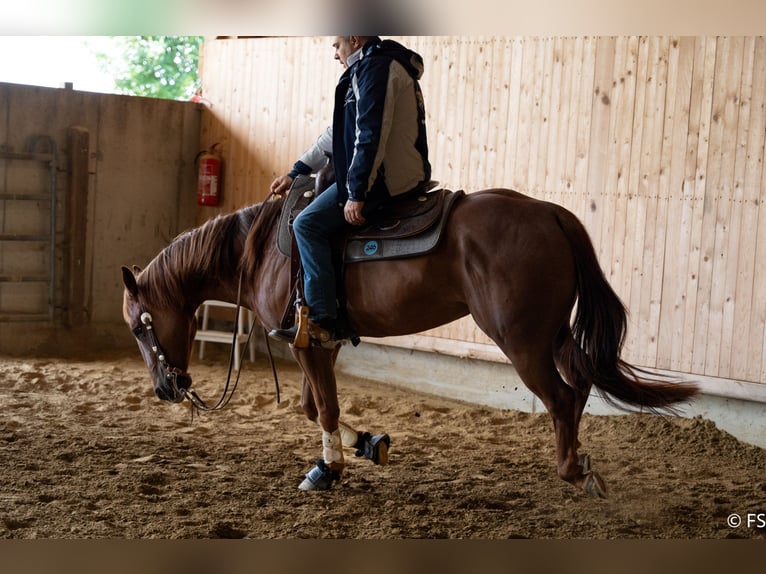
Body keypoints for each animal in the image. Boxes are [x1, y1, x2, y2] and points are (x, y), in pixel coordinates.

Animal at [121, 187, 698, 497]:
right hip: (554, 335)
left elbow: (323, 409)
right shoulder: (323, 343)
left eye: (138, 326)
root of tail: (549, 211)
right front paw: (368, 445)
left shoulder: (306, 344)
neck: (262, 250)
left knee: (560, 398)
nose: (166, 390)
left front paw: (327, 470)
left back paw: (572, 472)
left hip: (523, 342)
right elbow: (315, 407)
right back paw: (583, 467)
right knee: (578, 390)